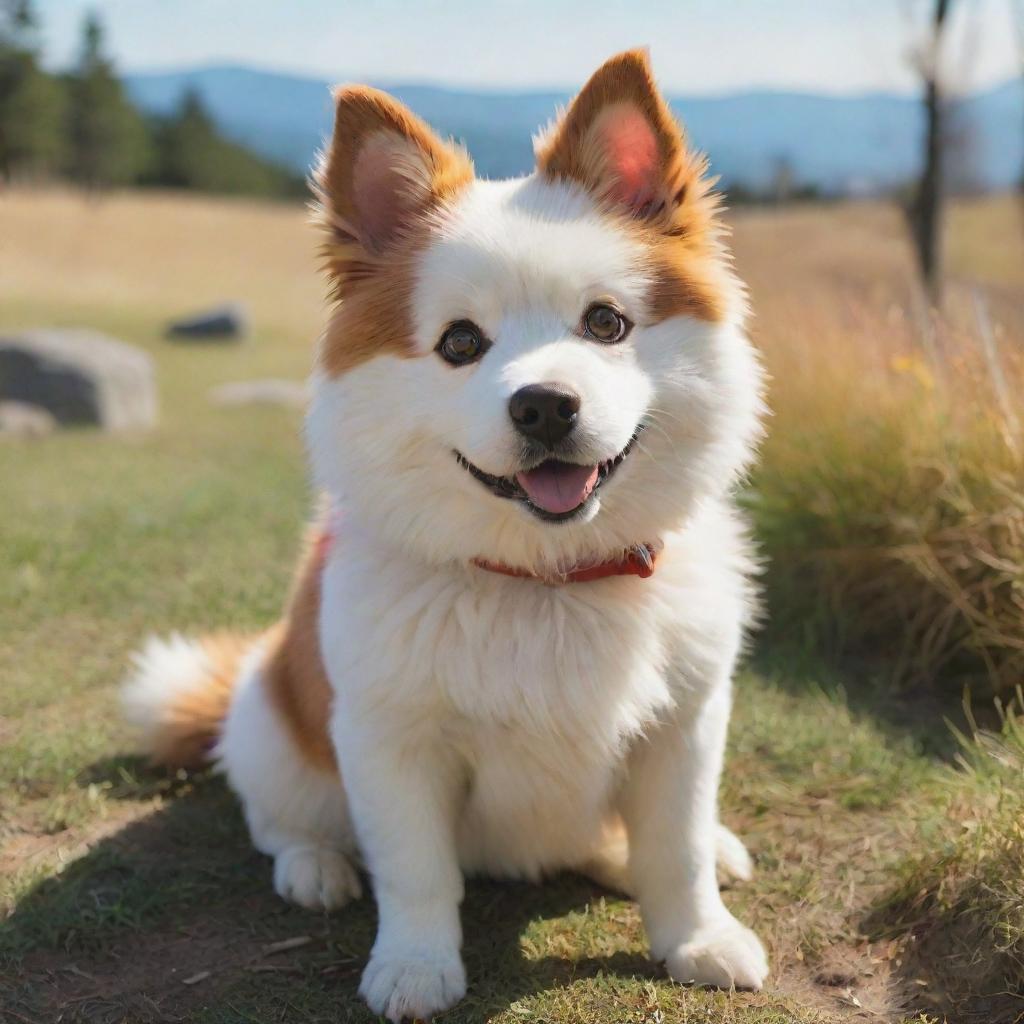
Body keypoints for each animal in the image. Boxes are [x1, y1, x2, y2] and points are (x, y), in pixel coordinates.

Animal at [123, 49, 770, 1024]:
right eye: (461, 342)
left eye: (606, 322)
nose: (544, 405)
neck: (549, 582)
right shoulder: (392, 740)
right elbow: (415, 871)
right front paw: (415, 967)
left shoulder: (686, 724)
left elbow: (679, 850)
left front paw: (700, 937)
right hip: (271, 722)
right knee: (277, 819)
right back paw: (315, 867)